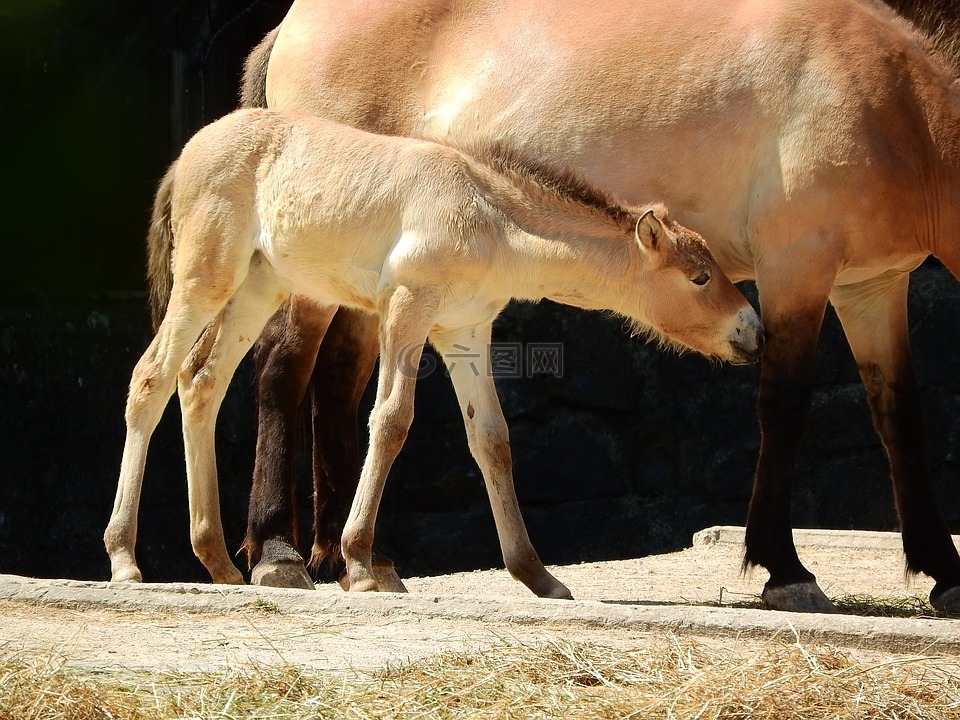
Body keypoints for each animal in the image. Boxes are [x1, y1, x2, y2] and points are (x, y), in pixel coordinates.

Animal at [103, 108, 764, 596]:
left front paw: (537, 575)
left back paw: (218, 562)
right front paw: (362, 564)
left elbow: (492, 439)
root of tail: (187, 154)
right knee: (151, 378)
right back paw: (125, 560)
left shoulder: (465, 332)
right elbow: (392, 419)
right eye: (701, 277)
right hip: (205, 279)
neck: (491, 219)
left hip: (258, 290)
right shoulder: (406, 308)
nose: (753, 331)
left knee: (200, 383)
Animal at [242, 0, 960, 612]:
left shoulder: (872, 287)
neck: (888, 101)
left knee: (337, 384)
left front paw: (942, 573)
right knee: (283, 367)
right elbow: (783, 409)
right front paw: (785, 571)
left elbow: (900, 415)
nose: (745, 330)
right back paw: (279, 553)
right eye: (700, 278)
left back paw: (350, 558)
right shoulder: (798, 268)